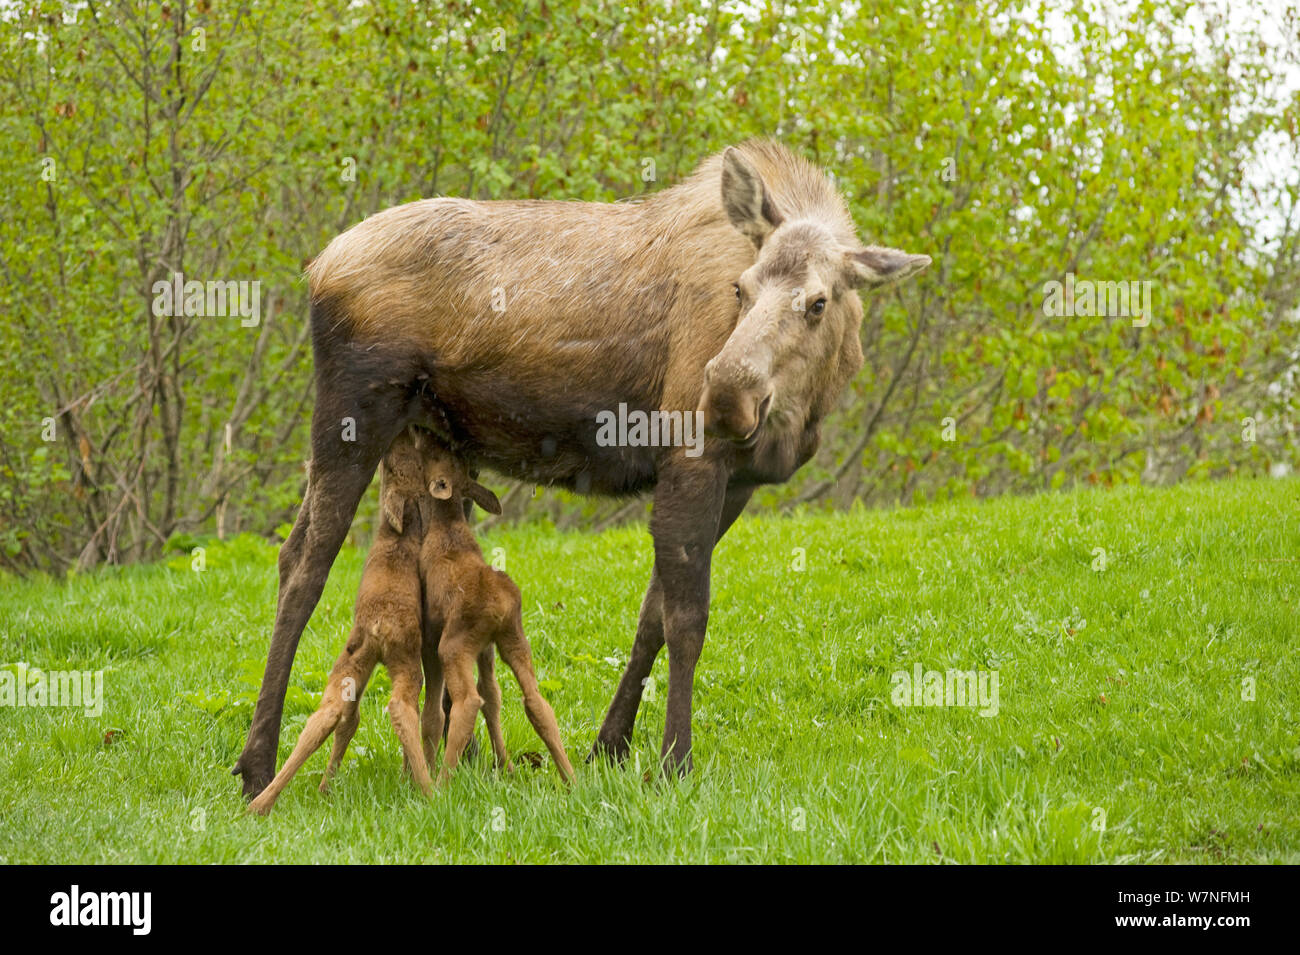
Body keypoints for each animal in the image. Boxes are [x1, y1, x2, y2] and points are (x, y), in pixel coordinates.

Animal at [231, 141, 925, 800]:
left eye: (818, 302)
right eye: (741, 288)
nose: (727, 392)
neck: (807, 403)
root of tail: (317, 268)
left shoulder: (739, 485)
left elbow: (652, 615)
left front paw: (610, 746)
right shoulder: (691, 458)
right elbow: (687, 619)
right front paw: (674, 761)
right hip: (355, 411)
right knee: (304, 564)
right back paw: (258, 762)